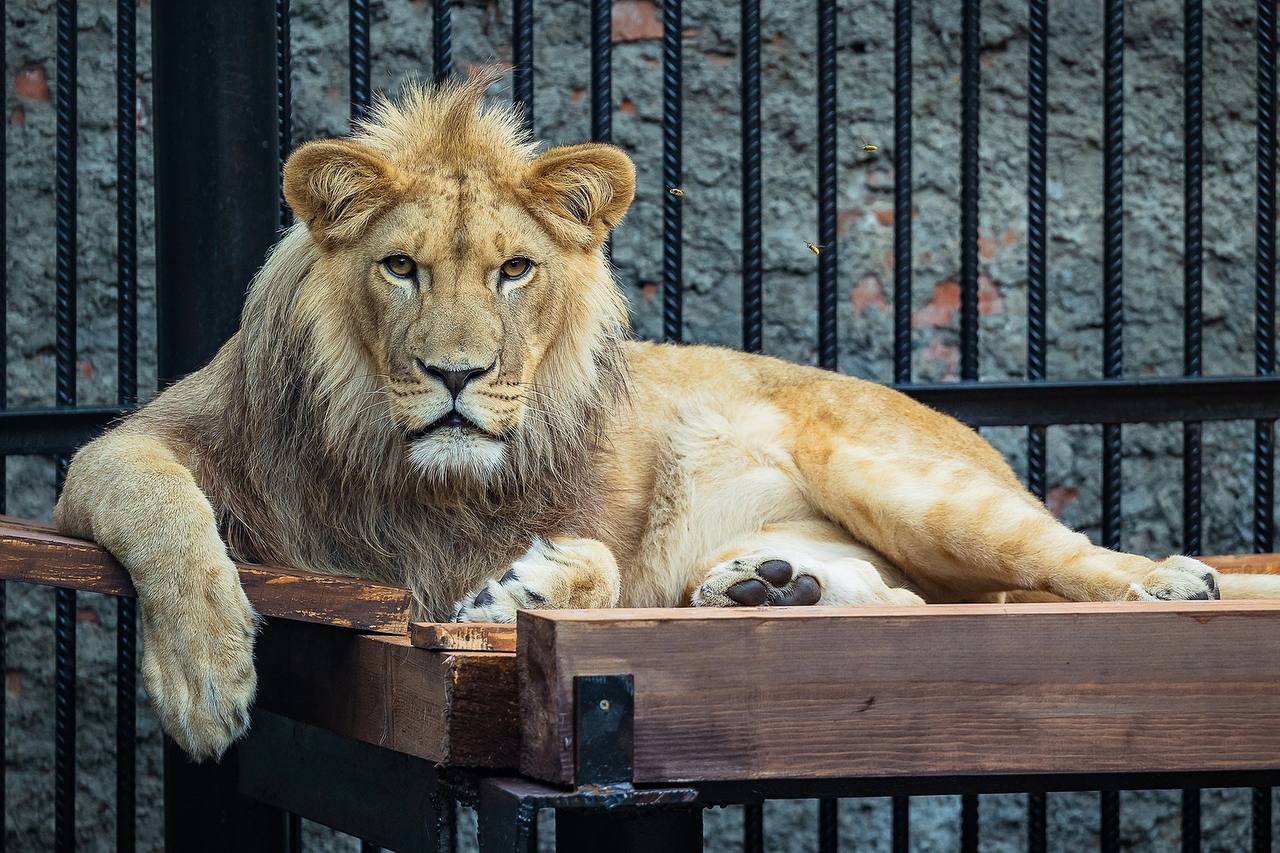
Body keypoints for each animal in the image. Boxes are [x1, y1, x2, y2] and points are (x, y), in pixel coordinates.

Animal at [52, 71, 1280, 758]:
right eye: (400, 267)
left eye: (513, 270)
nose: (455, 374)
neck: (406, 463)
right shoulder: (125, 449)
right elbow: (168, 514)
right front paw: (205, 674)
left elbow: (598, 564)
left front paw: (533, 587)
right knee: (907, 595)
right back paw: (769, 586)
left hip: (904, 480)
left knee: (1035, 562)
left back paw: (1168, 578)